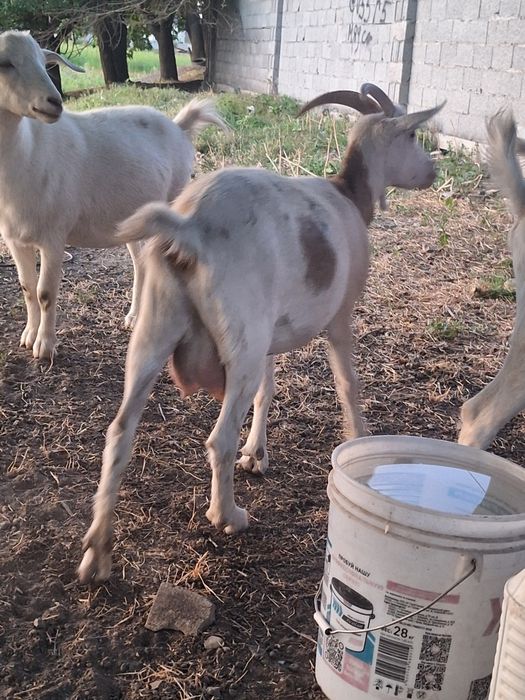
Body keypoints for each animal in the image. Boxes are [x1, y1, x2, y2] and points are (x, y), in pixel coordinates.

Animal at [0, 30, 227, 360]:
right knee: (141, 262)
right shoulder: (15, 238)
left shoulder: (54, 235)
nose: (54, 102)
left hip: (174, 197)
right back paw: (133, 317)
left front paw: (45, 346)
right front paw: (28, 336)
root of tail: (178, 125)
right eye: (5, 63)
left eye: (44, 63)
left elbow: (45, 293)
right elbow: (27, 287)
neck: (27, 153)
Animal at [78, 84, 442, 582]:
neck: (348, 195)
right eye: (411, 134)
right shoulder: (339, 320)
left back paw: (97, 551)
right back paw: (228, 515)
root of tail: (189, 228)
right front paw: (358, 441)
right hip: (240, 345)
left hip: (156, 332)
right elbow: (347, 385)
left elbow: (267, 391)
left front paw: (257, 454)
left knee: (119, 432)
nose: (434, 170)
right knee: (218, 439)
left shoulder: (271, 336)